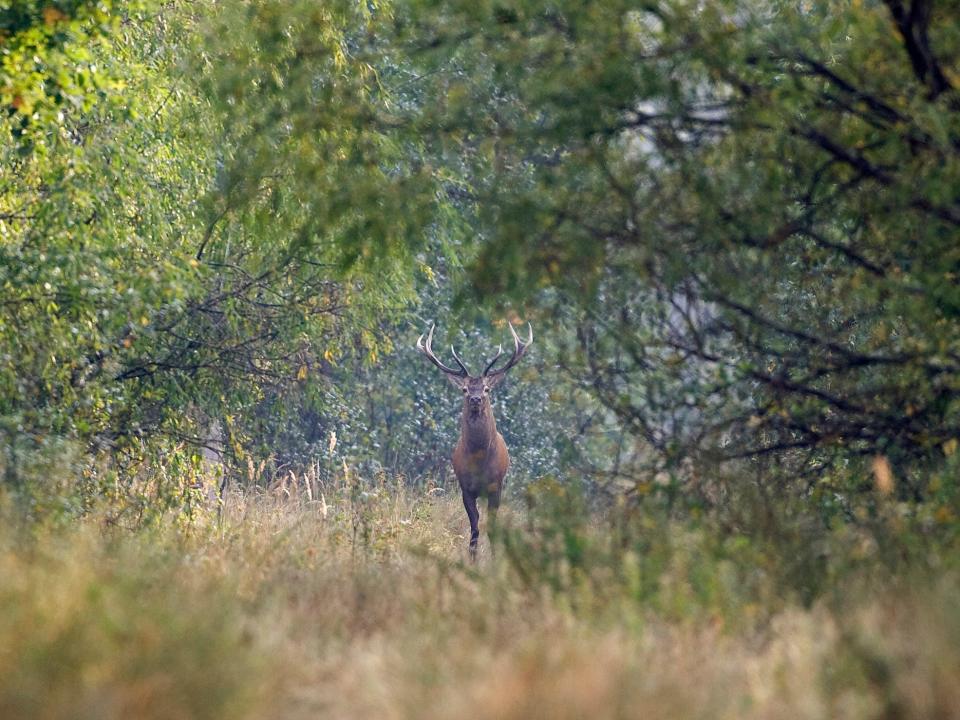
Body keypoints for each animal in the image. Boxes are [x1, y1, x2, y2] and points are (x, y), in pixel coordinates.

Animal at [414, 320, 532, 556]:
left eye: (486, 388)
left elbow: (492, 526)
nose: (476, 399)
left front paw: (495, 558)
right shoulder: (466, 488)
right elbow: (475, 527)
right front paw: (472, 557)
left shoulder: (496, 486)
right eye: (465, 389)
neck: (479, 461)